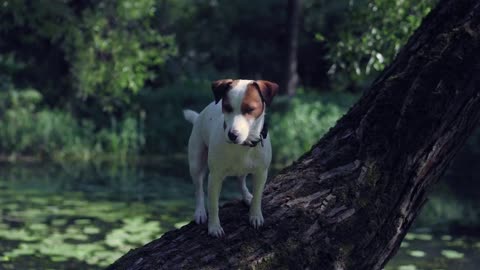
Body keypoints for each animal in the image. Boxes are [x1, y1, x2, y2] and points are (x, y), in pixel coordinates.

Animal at [183, 78, 278, 236]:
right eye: (227, 107)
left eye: (250, 109)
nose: (232, 135)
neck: (243, 145)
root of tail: (199, 117)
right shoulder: (215, 177)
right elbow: (213, 204)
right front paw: (214, 226)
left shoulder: (261, 173)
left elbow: (258, 196)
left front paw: (255, 215)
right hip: (196, 162)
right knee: (198, 189)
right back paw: (200, 212)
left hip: (243, 168)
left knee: (241, 180)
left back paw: (246, 196)